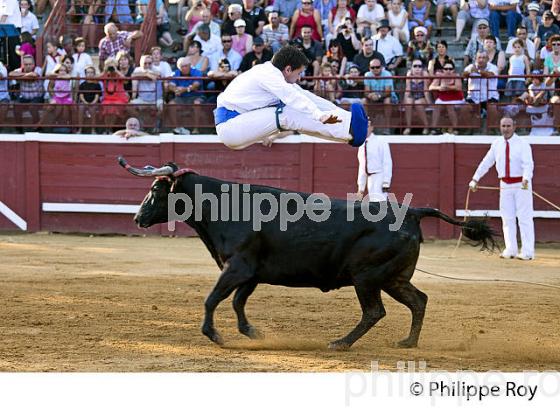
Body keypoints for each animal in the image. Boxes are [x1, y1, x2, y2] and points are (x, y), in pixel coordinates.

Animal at [119, 157, 494, 350]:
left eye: (156, 189)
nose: (138, 218)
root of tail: (413, 211)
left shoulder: (238, 267)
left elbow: (213, 299)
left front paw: (215, 335)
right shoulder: (251, 273)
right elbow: (238, 302)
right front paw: (251, 332)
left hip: (367, 277)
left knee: (375, 311)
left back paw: (341, 343)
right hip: (393, 278)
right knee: (419, 300)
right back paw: (407, 343)